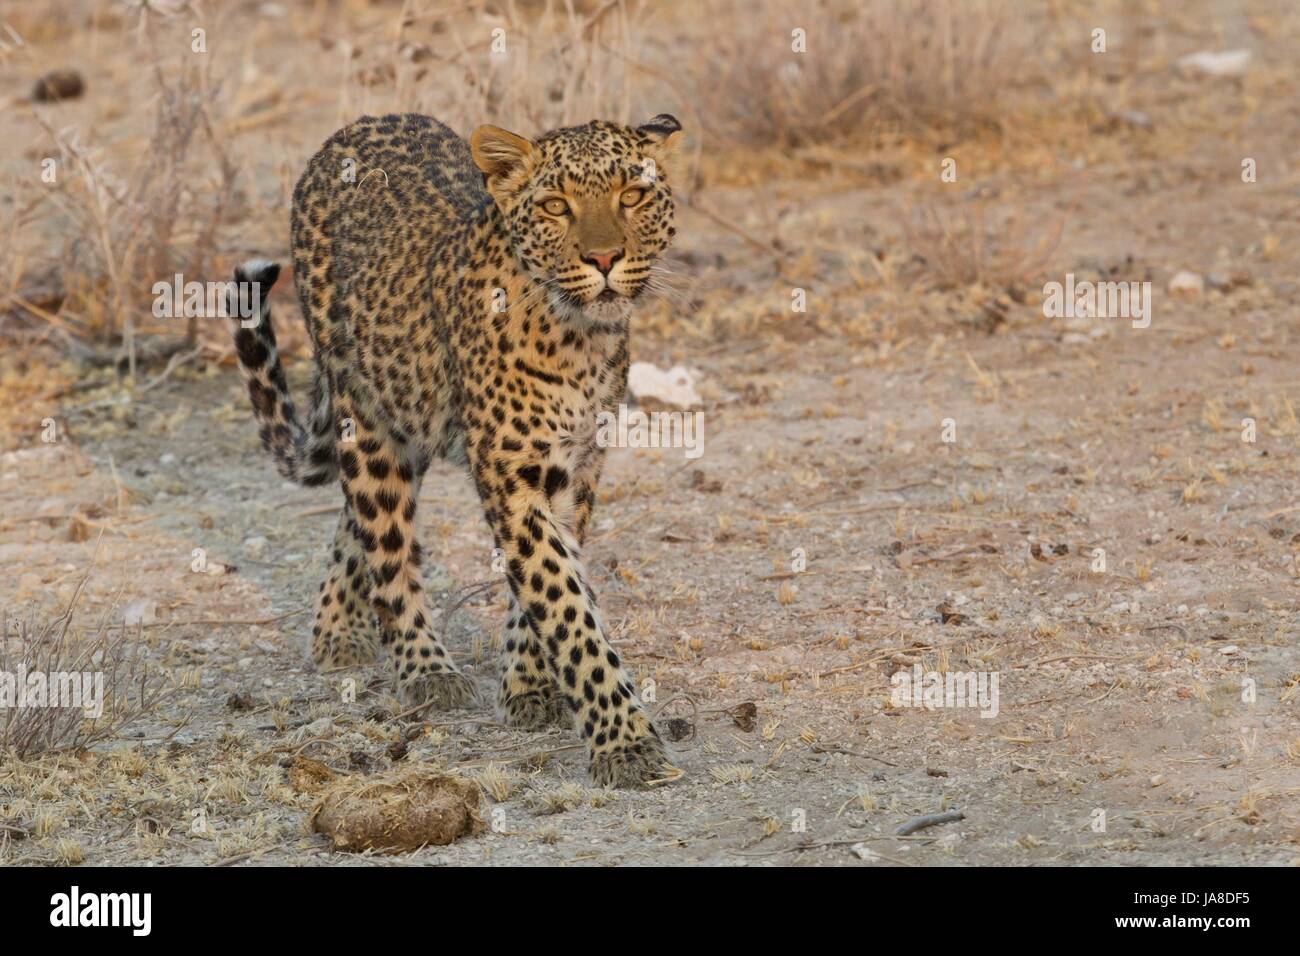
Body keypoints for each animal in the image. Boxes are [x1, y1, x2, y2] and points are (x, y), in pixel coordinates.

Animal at [224, 110, 686, 785]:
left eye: (632, 195)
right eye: (555, 206)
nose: (603, 258)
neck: (581, 337)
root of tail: (354, 126)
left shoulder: (576, 469)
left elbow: (546, 588)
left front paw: (528, 684)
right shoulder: (510, 474)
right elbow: (564, 604)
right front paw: (623, 742)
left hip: (406, 408)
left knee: (356, 519)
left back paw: (338, 629)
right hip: (365, 413)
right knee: (383, 538)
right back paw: (425, 668)